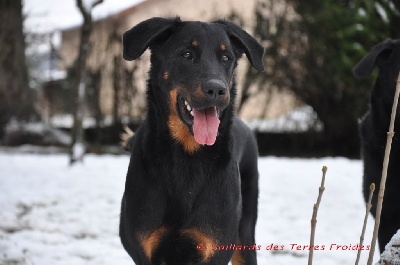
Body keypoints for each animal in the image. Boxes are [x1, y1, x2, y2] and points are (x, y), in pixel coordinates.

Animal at [117, 17, 264, 264]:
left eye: (226, 58)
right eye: (186, 54)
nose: (217, 90)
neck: (187, 156)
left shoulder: (214, 248)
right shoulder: (144, 250)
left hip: (244, 235)